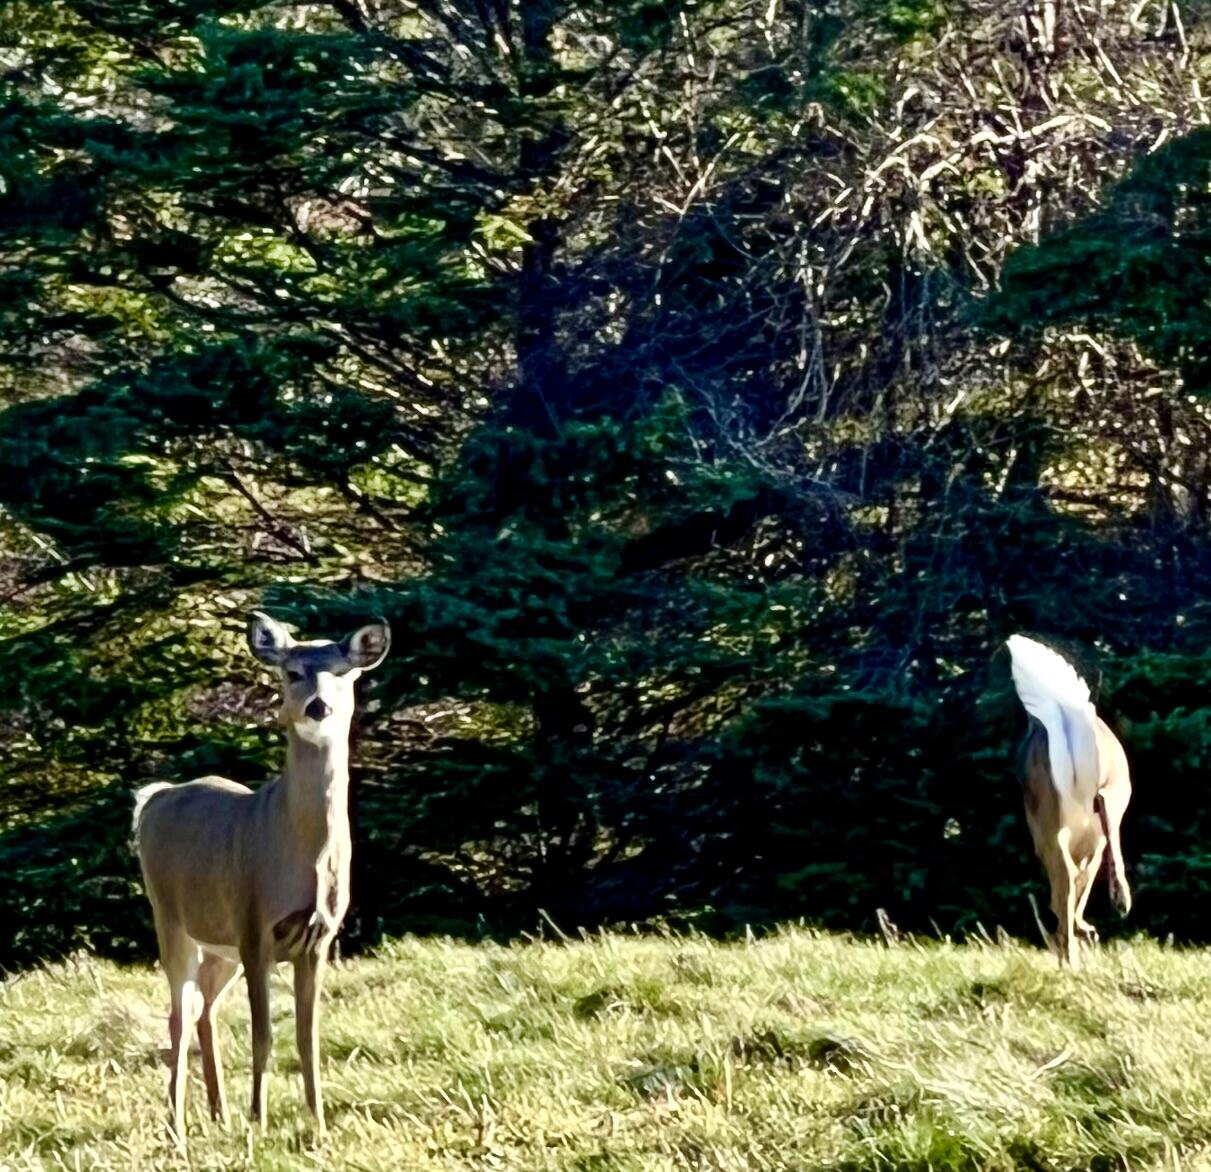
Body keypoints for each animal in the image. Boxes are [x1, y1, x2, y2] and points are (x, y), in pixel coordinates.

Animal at [132, 611, 390, 1147]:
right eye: (292, 672)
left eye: (346, 673)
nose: (318, 705)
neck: (301, 858)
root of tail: (154, 798)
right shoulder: (254, 926)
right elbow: (263, 1033)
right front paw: (261, 1121)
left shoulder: (319, 938)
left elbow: (308, 1037)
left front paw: (318, 1126)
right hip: (171, 916)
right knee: (178, 1015)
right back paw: (178, 1125)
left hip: (219, 945)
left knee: (204, 1010)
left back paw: (219, 1114)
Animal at [1006, 633, 1132, 969]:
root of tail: (1066, 717)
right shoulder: (1093, 839)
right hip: (1105, 803)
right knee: (1079, 876)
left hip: (1051, 824)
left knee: (1065, 880)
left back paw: (1069, 951)